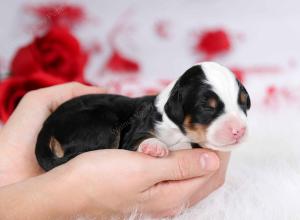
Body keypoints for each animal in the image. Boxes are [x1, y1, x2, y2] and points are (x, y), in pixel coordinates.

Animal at [35, 61, 251, 171]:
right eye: (207, 108)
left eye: (243, 102)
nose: (239, 130)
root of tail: (46, 129)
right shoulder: (132, 134)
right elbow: (140, 139)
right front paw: (154, 146)